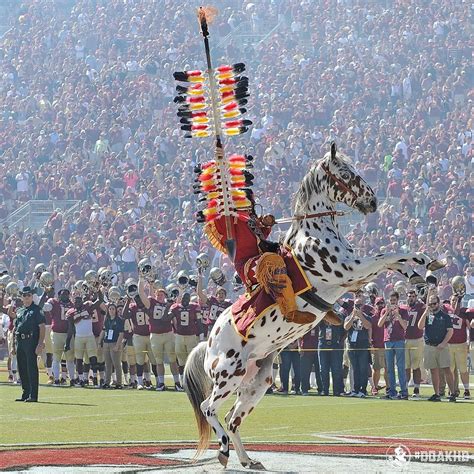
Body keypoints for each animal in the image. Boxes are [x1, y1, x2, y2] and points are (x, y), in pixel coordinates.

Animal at [184, 144, 440, 470]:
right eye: (345, 173)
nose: (372, 202)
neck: (315, 233)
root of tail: (208, 345)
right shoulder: (350, 271)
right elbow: (391, 254)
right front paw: (424, 262)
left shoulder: (354, 277)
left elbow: (393, 261)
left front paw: (422, 275)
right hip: (229, 376)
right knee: (209, 408)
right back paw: (224, 450)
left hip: (256, 382)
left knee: (233, 418)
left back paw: (247, 459)